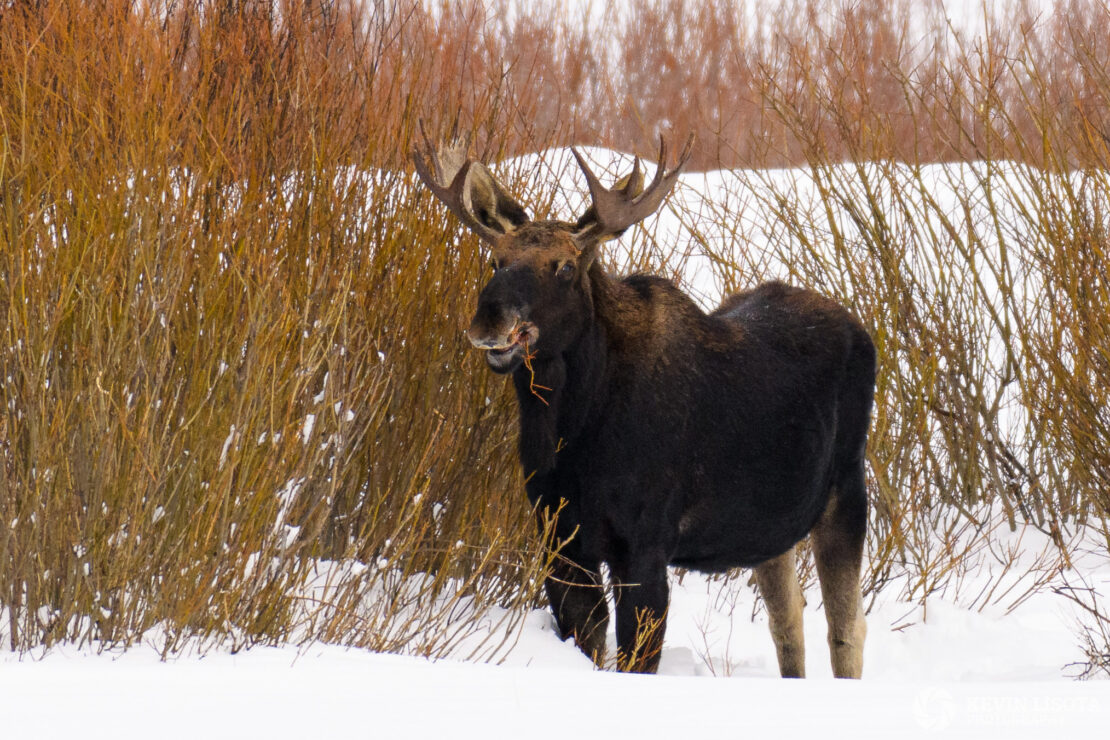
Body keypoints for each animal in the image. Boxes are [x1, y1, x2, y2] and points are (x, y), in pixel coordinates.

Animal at [417, 133, 874, 678]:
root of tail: (861, 330)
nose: (490, 317)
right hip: (772, 529)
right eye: (495, 260)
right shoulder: (560, 542)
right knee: (789, 621)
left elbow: (637, 658)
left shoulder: (645, 545)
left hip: (847, 491)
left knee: (846, 631)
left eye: (565, 267)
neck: (572, 432)